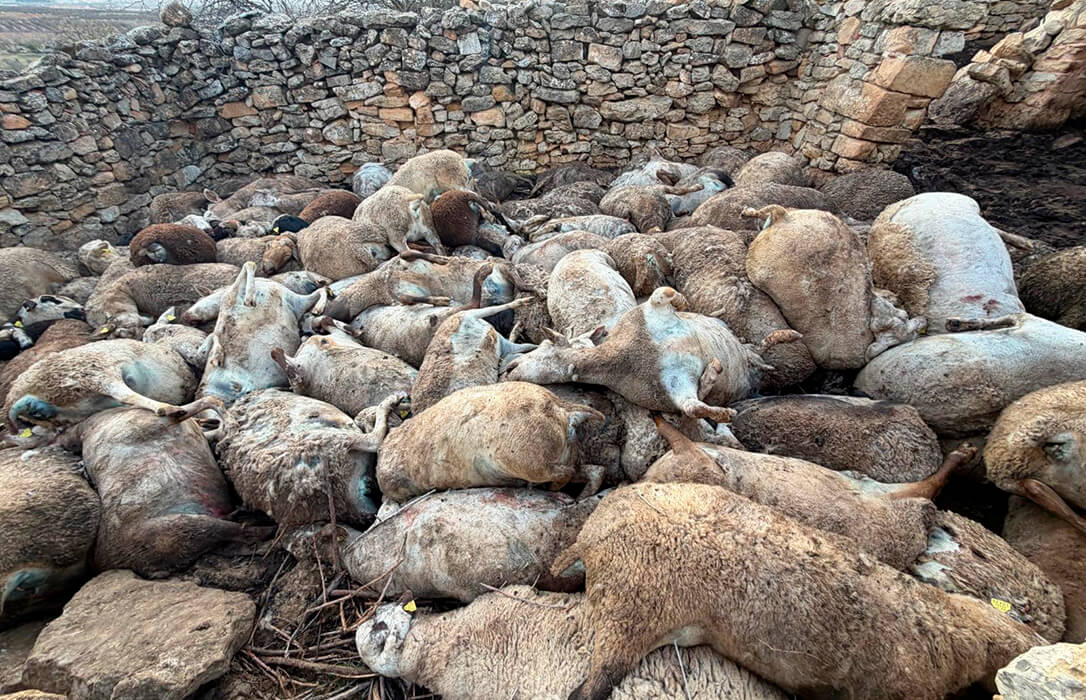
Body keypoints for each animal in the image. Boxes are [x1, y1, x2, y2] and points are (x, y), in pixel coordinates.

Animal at [503, 287, 800, 422]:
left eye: (544, 344)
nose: (508, 368)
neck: (628, 355)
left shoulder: (650, 311)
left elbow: (663, 292)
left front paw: (684, 303)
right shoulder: (674, 389)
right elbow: (694, 407)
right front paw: (719, 396)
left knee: (756, 348)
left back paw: (789, 337)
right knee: (757, 355)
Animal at [643, 416, 959, 569]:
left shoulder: (695, 460)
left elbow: (673, 432)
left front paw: (657, 415)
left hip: (889, 500)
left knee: (928, 486)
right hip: (890, 499)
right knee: (927, 488)